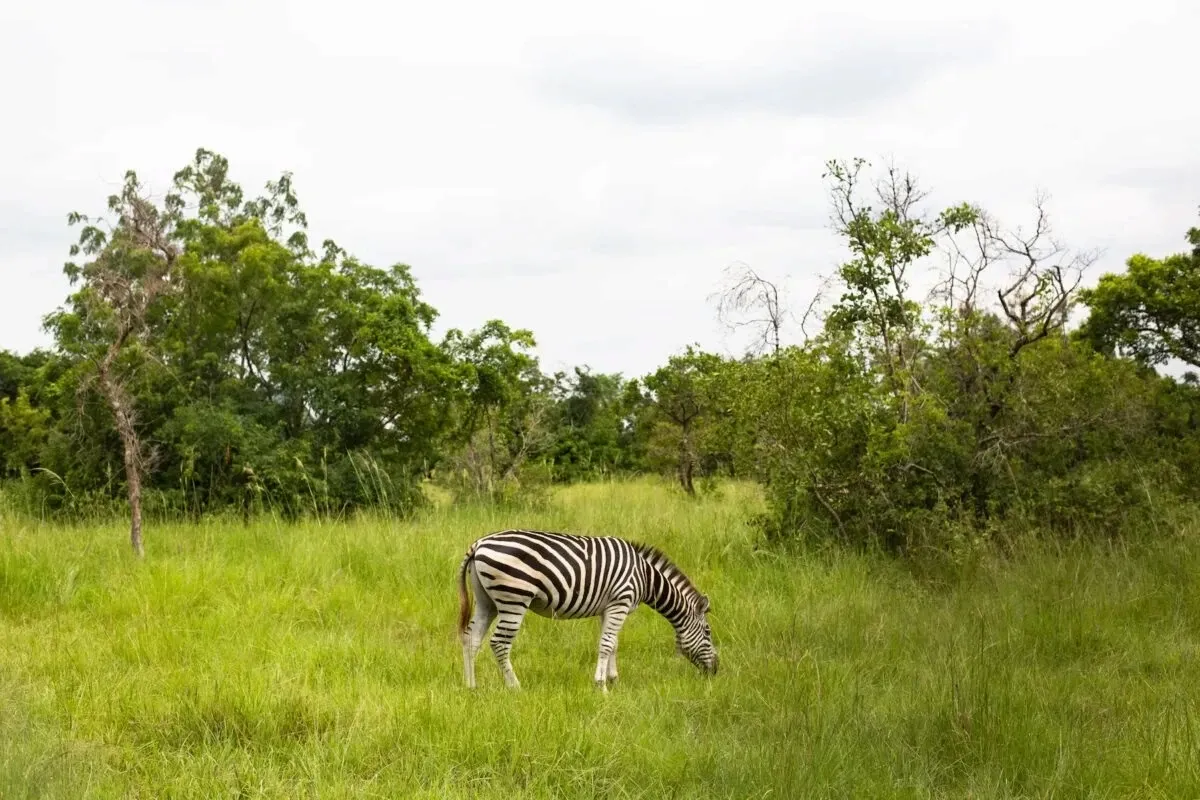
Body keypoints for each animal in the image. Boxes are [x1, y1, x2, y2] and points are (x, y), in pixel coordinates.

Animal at [455, 528, 718, 690]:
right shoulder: (620, 602)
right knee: (499, 643)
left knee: (472, 638)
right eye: (708, 632)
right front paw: (601, 686)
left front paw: (613, 680)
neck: (645, 576)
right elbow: (606, 644)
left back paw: (471, 686)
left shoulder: (609, 608)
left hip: (487, 601)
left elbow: (613, 644)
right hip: (514, 598)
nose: (716, 670)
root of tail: (479, 544)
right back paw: (515, 687)